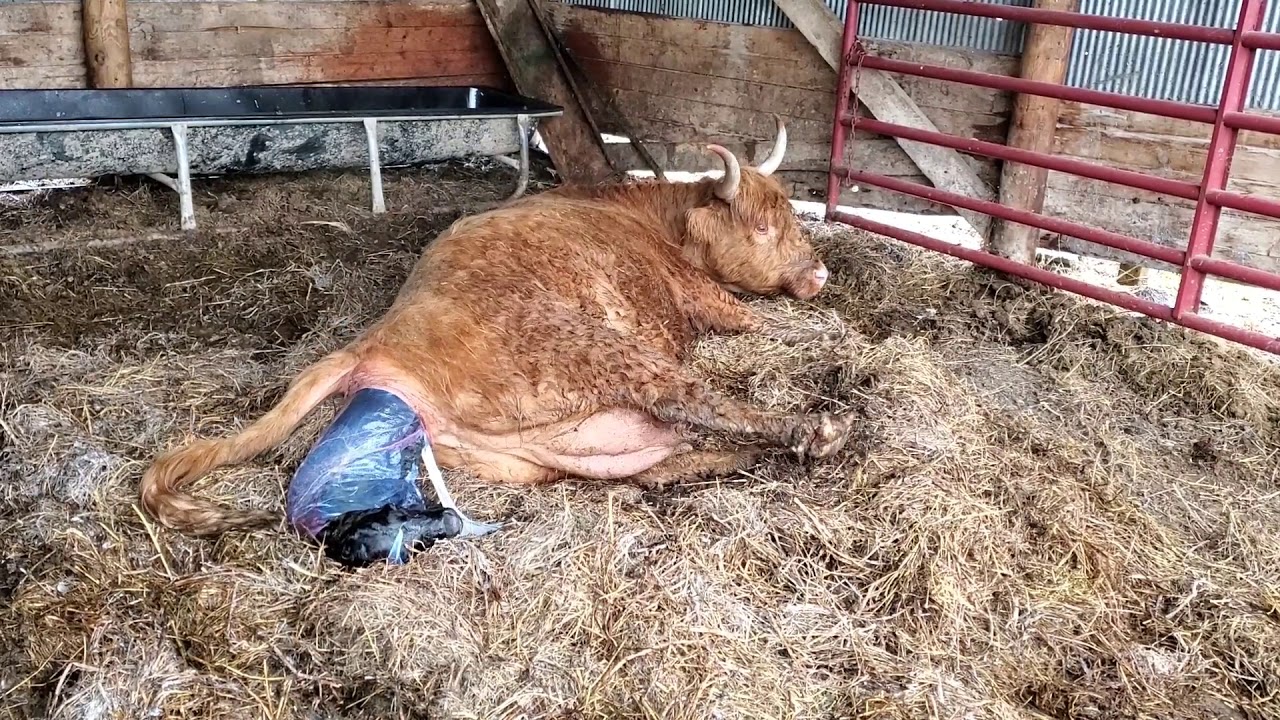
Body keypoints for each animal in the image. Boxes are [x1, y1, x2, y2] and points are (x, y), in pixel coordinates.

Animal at [139, 115, 857, 547]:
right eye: (760, 225)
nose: (820, 273)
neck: (652, 218)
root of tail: (376, 339)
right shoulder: (699, 294)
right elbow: (760, 320)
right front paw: (830, 335)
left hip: (551, 447)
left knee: (659, 462)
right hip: (597, 349)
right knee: (691, 399)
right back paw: (814, 430)